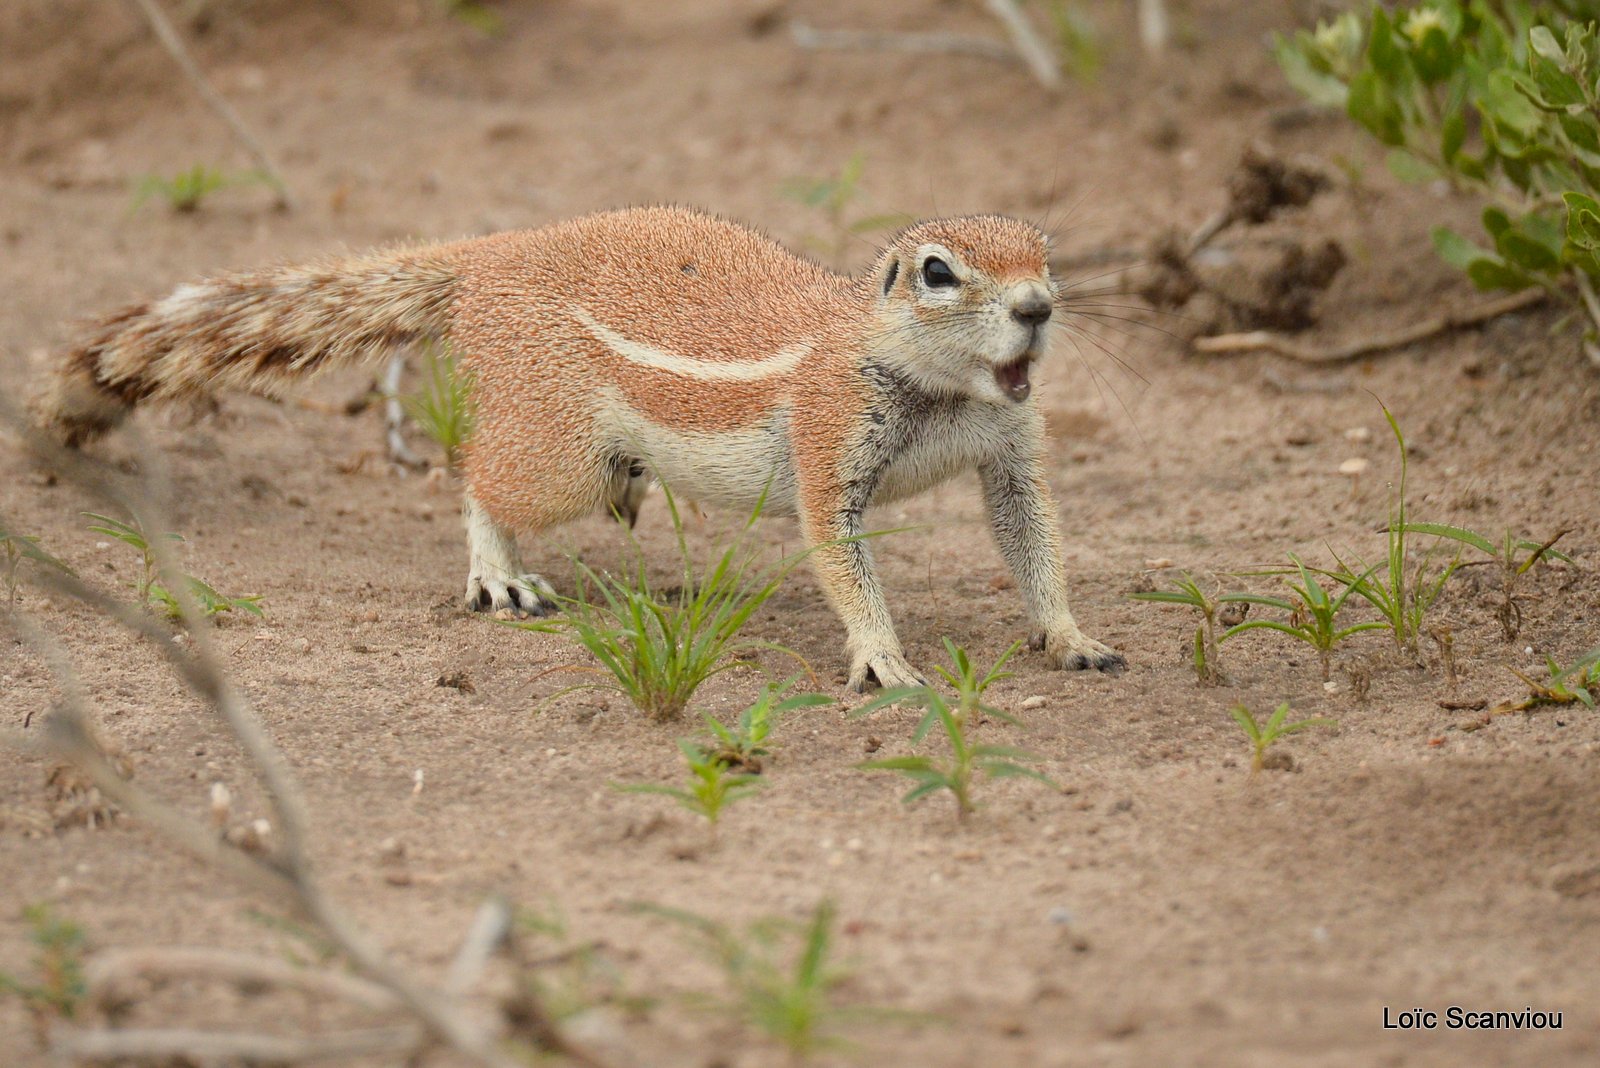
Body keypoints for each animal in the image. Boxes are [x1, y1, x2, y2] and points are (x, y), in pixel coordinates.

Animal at [28, 206, 1126, 693]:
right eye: (938, 273)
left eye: (1044, 253)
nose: (1038, 309)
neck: (940, 391)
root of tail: (485, 256)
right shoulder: (829, 441)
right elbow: (838, 554)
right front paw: (883, 657)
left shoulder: (1010, 451)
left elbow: (1031, 535)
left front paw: (1071, 636)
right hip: (553, 450)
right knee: (480, 478)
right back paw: (498, 574)